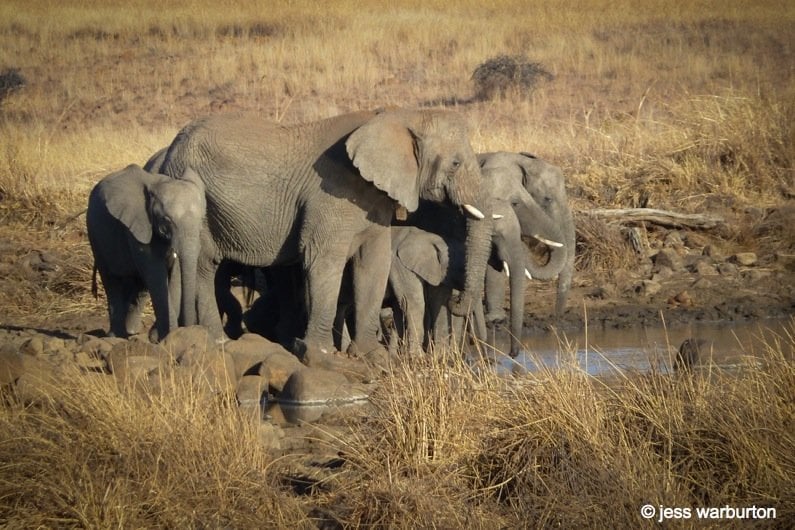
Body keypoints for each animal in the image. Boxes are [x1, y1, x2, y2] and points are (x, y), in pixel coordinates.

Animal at [86, 163, 205, 340]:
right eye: (166, 220)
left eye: (202, 220)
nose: (191, 328)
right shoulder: (138, 226)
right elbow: (155, 273)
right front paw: (165, 337)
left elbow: (174, 276)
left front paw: (159, 337)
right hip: (95, 234)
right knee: (111, 280)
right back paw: (117, 336)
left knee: (139, 285)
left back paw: (131, 332)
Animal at [158, 107, 544, 358]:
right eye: (455, 163)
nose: (458, 301)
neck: (398, 117)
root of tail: (171, 148)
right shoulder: (330, 193)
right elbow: (323, 260)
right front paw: (319, 354)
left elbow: (373, 262)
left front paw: (368, 354)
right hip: (194, 195)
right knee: (205, 265)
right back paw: (216, 342)